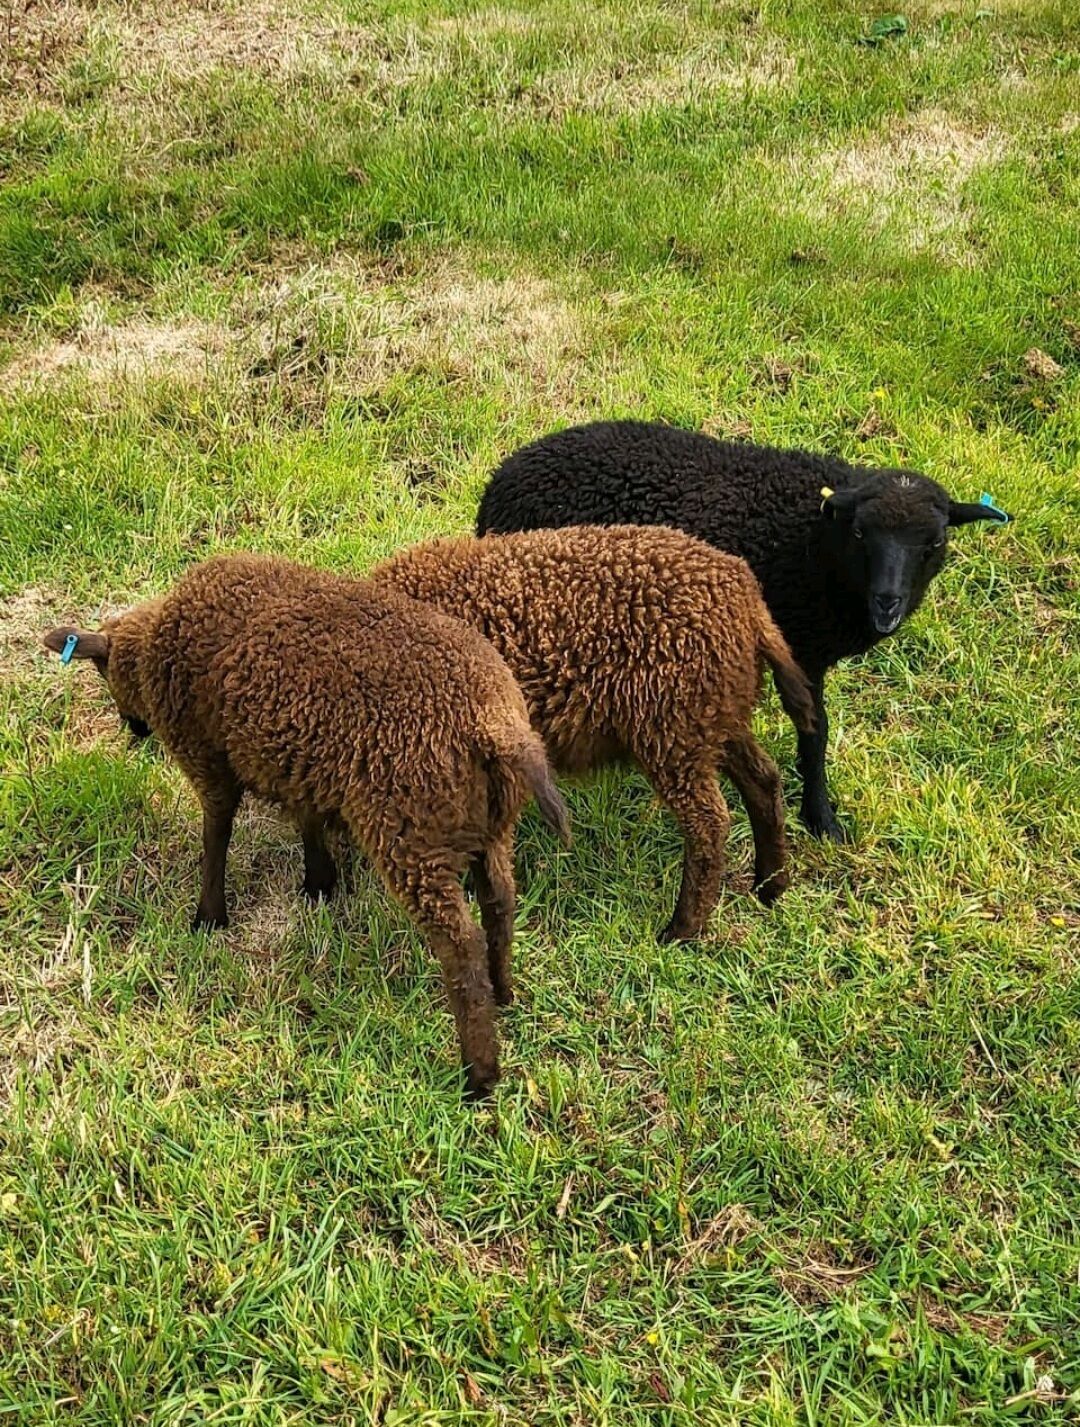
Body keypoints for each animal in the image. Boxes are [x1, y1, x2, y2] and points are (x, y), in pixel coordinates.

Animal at [43, 553, 570, 1099]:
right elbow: (307, 820)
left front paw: (209, 916)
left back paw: (479, 1074)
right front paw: (319, 883)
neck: (153, 644)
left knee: (459, 945)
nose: (134, 731)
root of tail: (493, 726)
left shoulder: (207, 757)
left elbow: (216, 833)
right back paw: (503, 992)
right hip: (490, 826)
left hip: (411, 833)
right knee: (500, 904)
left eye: (103, 674)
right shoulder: (300, 759)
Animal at [369, 525, 816, 943]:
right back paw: (770, 885)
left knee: (709, 822)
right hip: (716, 717)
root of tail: (749, 604)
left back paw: (681, 930)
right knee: (763, 781)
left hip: (672, 727)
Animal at [476, 420, 1010, 843]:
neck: (815, 541)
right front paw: (819, 817)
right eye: (861, 534)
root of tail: (501, 480)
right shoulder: (799, 644)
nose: (887, 601)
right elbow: (814, 731)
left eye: (934, 543)